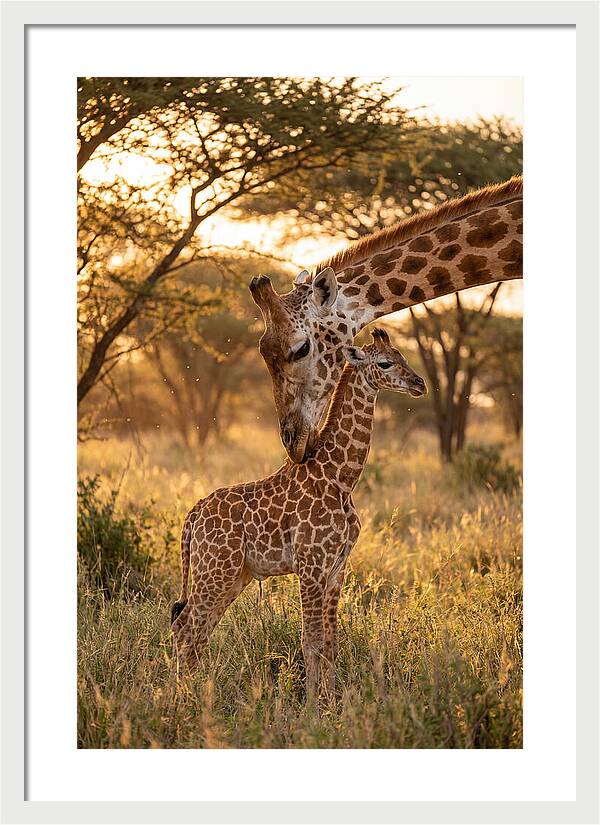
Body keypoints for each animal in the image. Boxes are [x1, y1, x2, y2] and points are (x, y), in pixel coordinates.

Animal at [171, 329, 426, 698]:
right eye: (385, 363)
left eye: (402, 356)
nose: (419, 383)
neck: (340, 477)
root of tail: (192, 517)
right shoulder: (311, 565)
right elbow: (311, 640)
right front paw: (312, 705)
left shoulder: (336, 568)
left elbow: (331, 641)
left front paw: (333, 701)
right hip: (214, 570)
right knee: (186, 628)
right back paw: (181, 700)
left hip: (233, 575)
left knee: (196, 629)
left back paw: (194, 694)